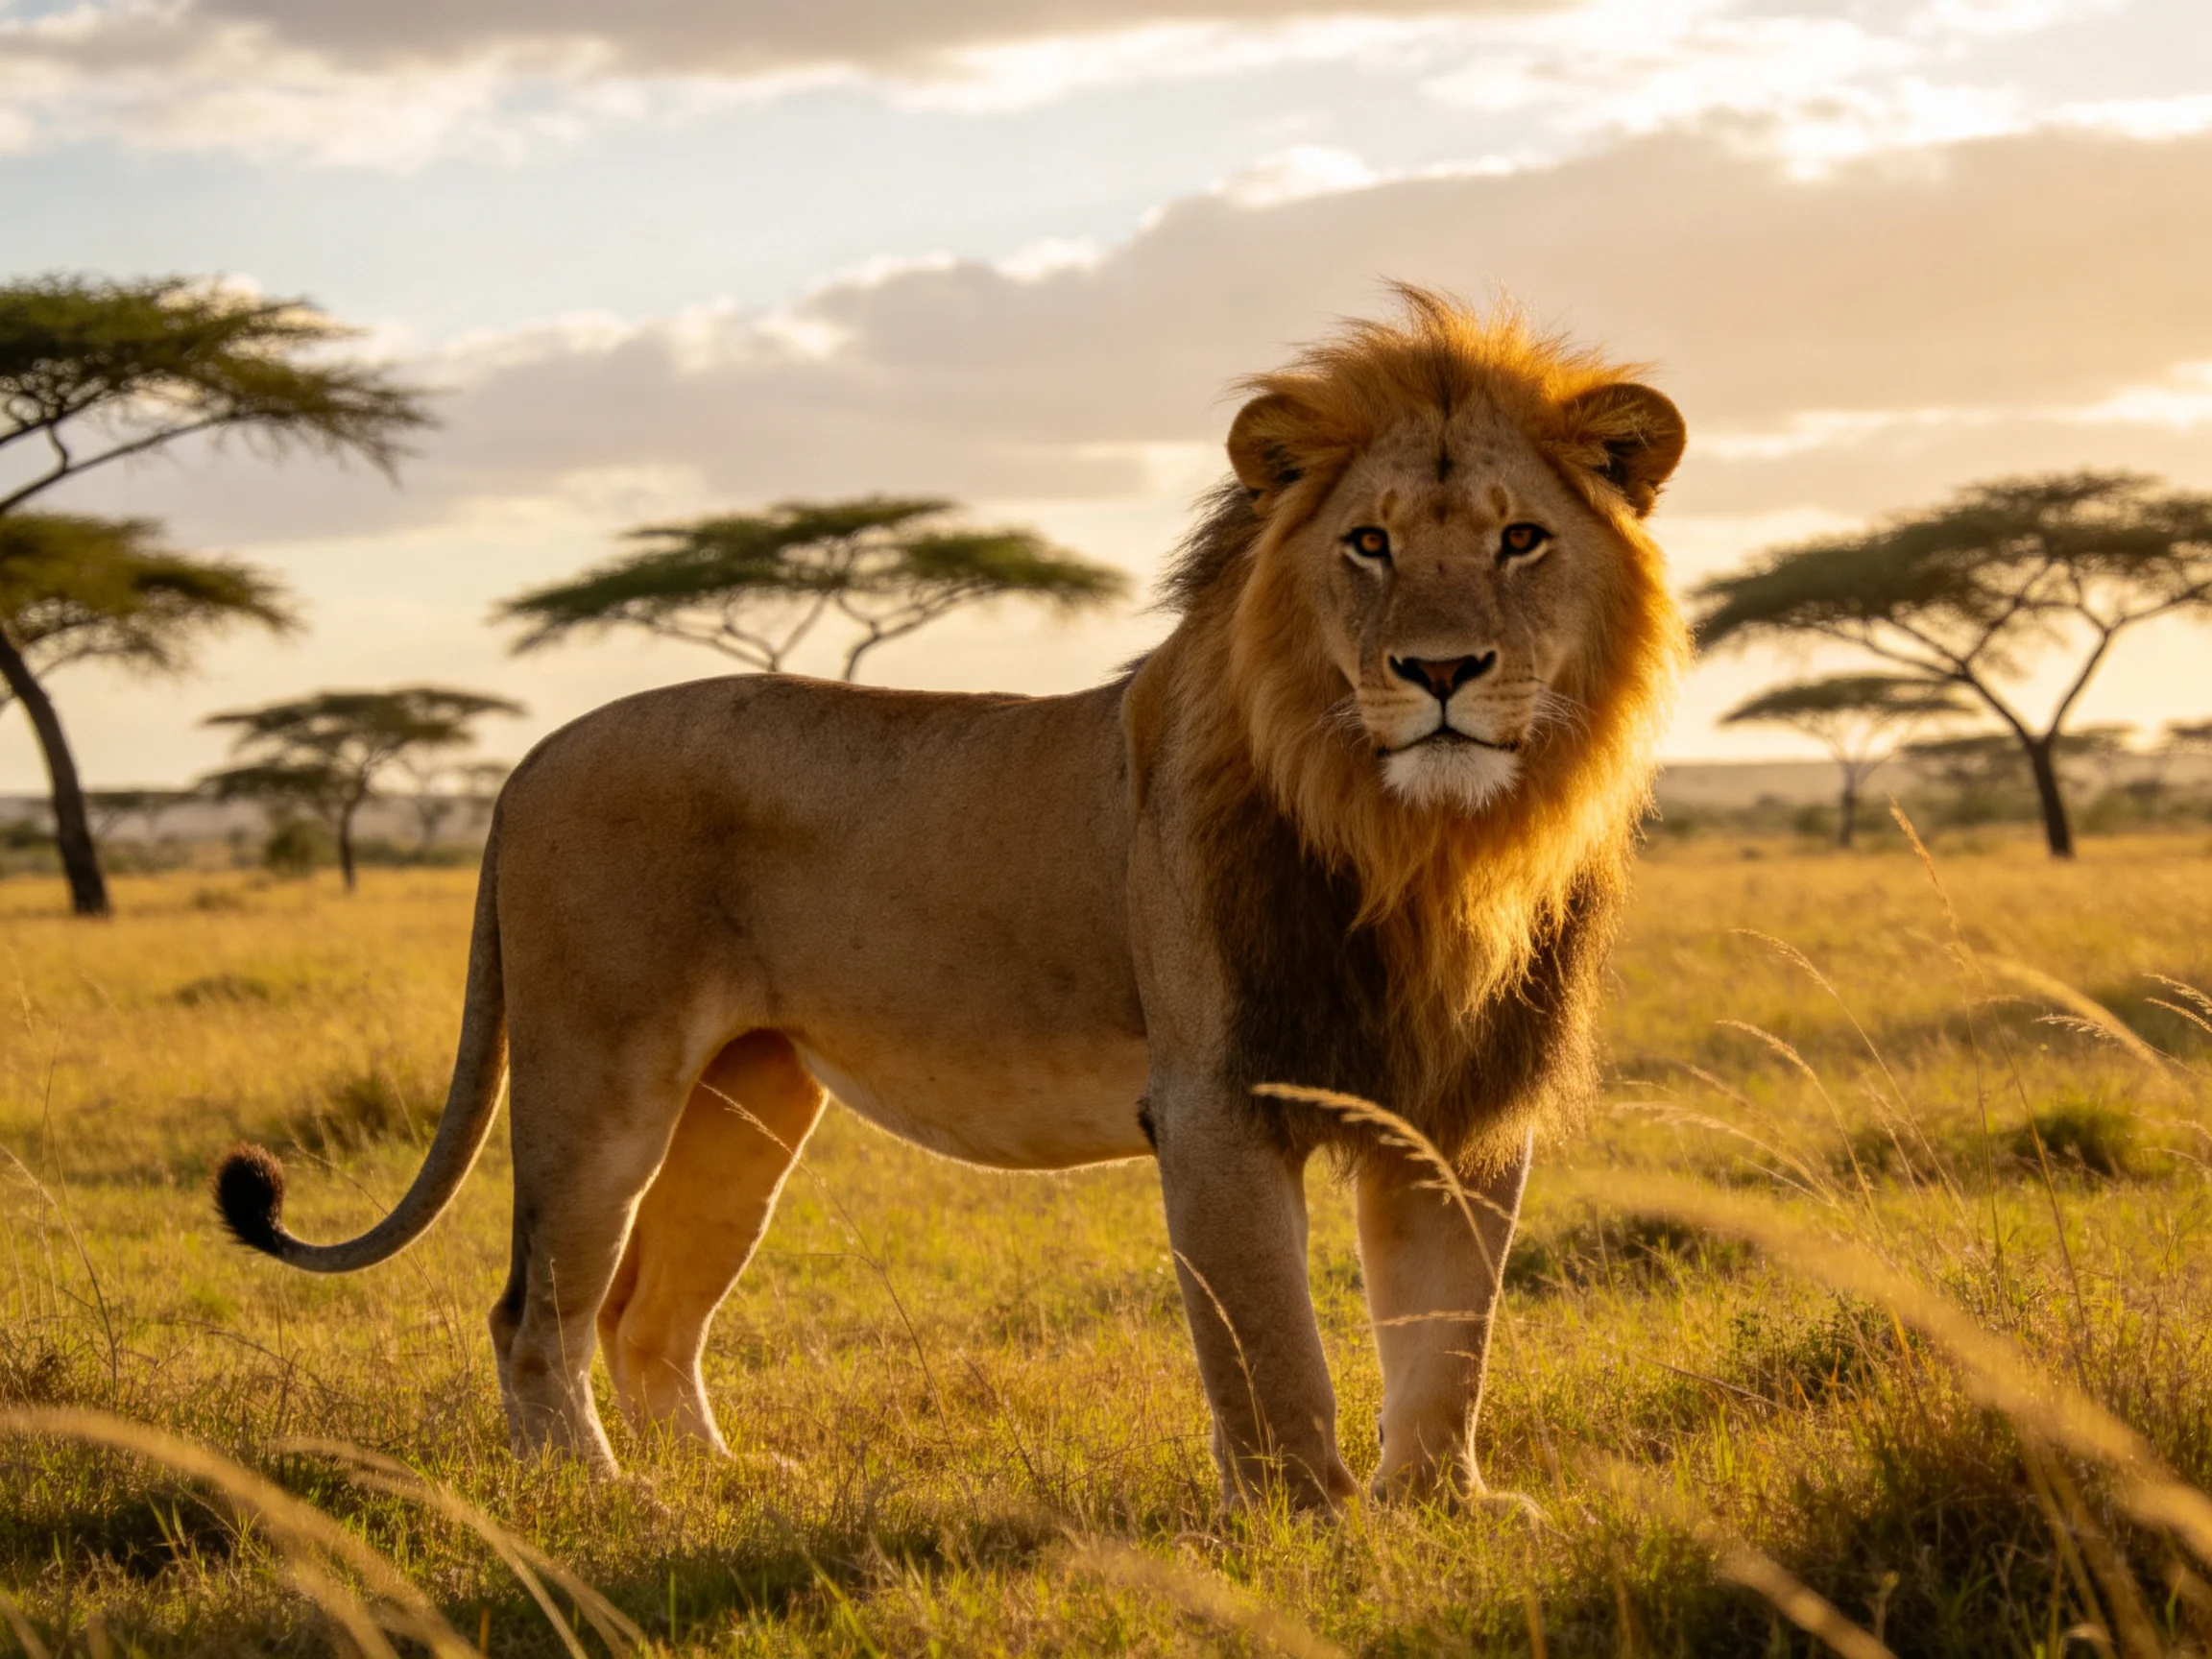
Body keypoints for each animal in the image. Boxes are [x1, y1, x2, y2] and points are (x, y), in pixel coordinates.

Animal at [213, 288, 1688, 1510]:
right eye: (1369, 544)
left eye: (1520, 540)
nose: (1440, 672)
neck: (1418, 841)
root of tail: (531, 757)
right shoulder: (1213, 1102)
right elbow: (1272, 1348)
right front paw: (1309, 1524)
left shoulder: (1454, 1107)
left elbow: (1449, 1335)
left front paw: (1443, 1509)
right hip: (598, 1074)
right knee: (535, 1310)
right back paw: (599, 1499)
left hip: (750, 1101)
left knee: (647, 1313)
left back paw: (720, 1480)